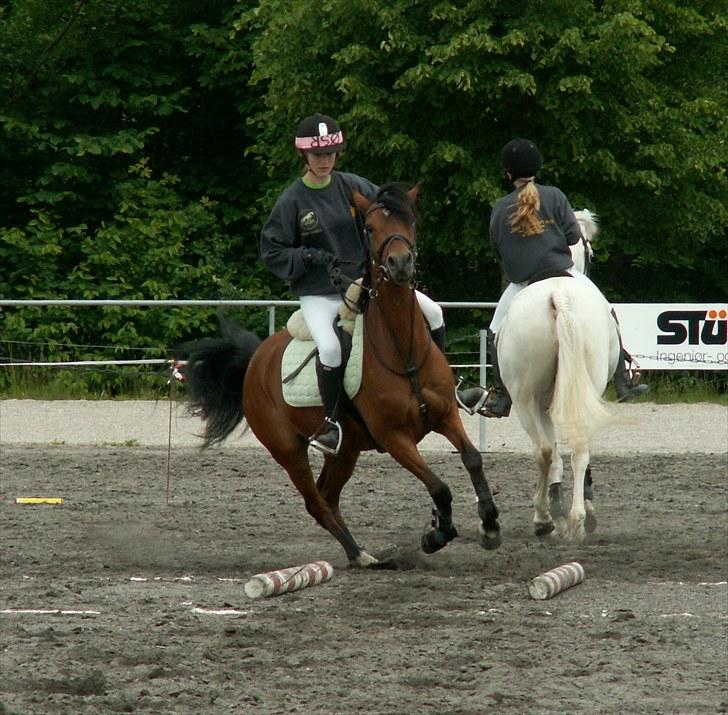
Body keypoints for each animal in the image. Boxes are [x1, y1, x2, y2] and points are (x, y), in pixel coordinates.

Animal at [182, 187, 500, 568]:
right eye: (371, 228)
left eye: (409, 221)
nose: (400, 263)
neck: (402, 352)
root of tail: (256, 359)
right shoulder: (395, 438)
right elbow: (438, 485)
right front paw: (437, 533)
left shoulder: (446, 416)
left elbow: (473, 459)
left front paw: (489, 524)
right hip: (289, 452)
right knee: (315, 502)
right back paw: (360, 554)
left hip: (346, 451)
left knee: (328, 495)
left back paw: (360, 552)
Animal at [494, 207, 620, 544]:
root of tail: (558, 294)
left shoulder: (544, 403)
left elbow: (554, 454)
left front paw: (555, 505)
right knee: (575, 447)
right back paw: (576, 518)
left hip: (526, 400)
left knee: (545, 450)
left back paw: (547, 518)